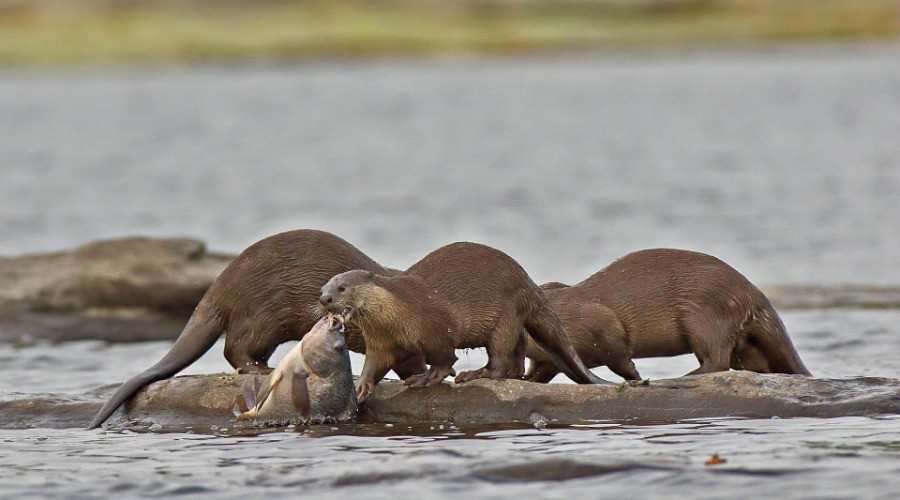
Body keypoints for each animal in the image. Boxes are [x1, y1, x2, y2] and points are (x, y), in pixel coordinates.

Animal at [318, 242, 606, 401]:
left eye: (342, 287)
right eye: (323, 288)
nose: (325, 299)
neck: (399, 311)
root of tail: (529, 283)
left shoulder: (435, 327)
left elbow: (445, 359)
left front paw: (426, 378)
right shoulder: (381, 342)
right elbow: (375, 364)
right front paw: (361, 387)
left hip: (506, 312)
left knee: (499, 356)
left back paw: (477, 373)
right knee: (519, 342)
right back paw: (514, 373)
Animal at [525, 248, 812, 382]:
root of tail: (751, 293)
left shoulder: (601, 325)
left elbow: (621, 359)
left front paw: (637, 379)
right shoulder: (548, 357)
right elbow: (541, 371)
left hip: (704, 314)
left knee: (717, 359)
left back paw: (683, 377)